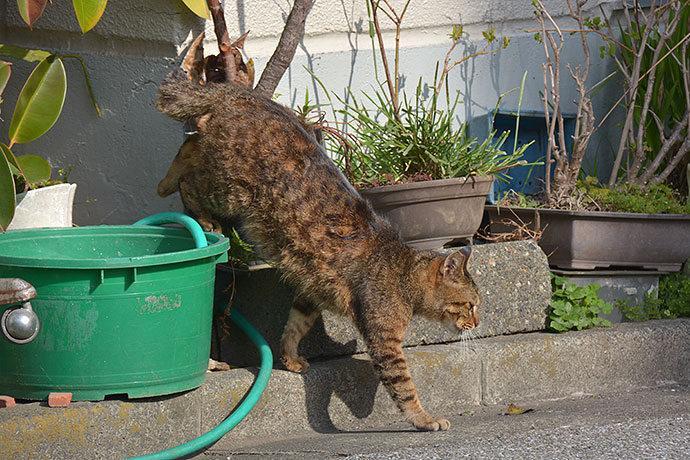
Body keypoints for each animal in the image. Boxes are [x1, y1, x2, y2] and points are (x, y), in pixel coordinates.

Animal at [156, 70, 478, 430]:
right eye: (470, 305)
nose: (478, 323)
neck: (401, 270)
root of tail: (241, 93)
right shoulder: (385, 342)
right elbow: (405, 388)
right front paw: (424, 419)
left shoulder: (311, 293)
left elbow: (294, 326)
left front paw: (290, 358)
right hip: (229, 189)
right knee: (190, 179)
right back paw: (196, 210)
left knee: (191, 144)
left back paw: (165, 182)